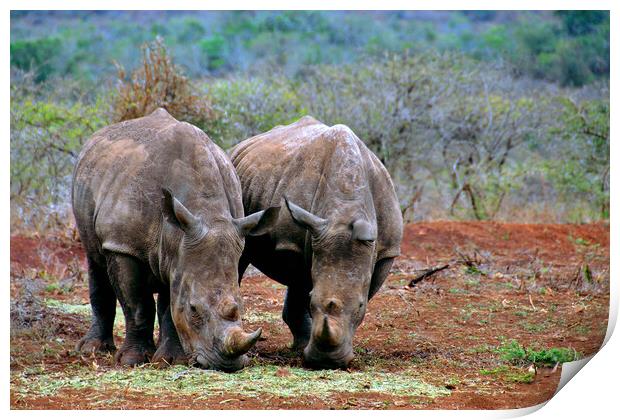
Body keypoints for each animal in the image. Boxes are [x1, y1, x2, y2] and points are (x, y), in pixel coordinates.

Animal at [70, 107, 278, 370]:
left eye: (240, 307)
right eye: (193, 309)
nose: (226, 364)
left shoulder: (182, 251)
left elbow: (170, 304)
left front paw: (170, 360)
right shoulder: (122, 246)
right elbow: (137, 305)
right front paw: (133, 360)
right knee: (95, 261)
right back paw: (93, 350)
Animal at [231, 115, 402, 368]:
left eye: (360, 306)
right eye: (313, 301)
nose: (327, 362)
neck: (346, 209)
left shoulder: (386, 251)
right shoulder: (295, 239)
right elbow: (302, 286)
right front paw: (304, 347)